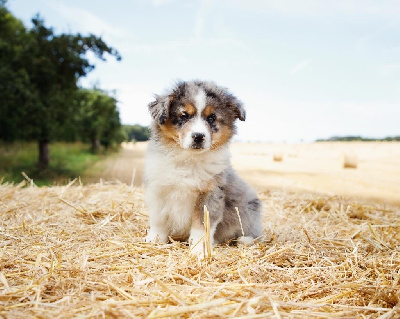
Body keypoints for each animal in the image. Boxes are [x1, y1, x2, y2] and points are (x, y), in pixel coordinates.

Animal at [145, 81, 262, 256]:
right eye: (184, 116)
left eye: (211, 117)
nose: (198, 136)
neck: (188, 159)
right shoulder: (158, 188)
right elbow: (157, 219)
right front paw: (155, 239)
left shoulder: (210, 194)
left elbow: (202, 225)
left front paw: (200, 250)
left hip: (249, 208)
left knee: (254, 233)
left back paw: (244, 240)